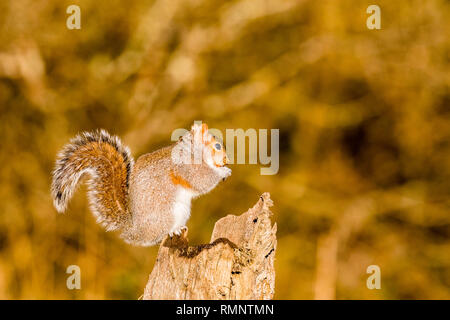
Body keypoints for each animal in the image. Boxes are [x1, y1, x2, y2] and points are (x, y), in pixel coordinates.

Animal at [51, 122, 230, 245]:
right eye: (217, 146)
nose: (227, 160)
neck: (193, 151)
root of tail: (135, 231)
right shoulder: (186, 167)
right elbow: (201, 180)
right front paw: (223, 172)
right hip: (167, 213)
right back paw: (174, 230)